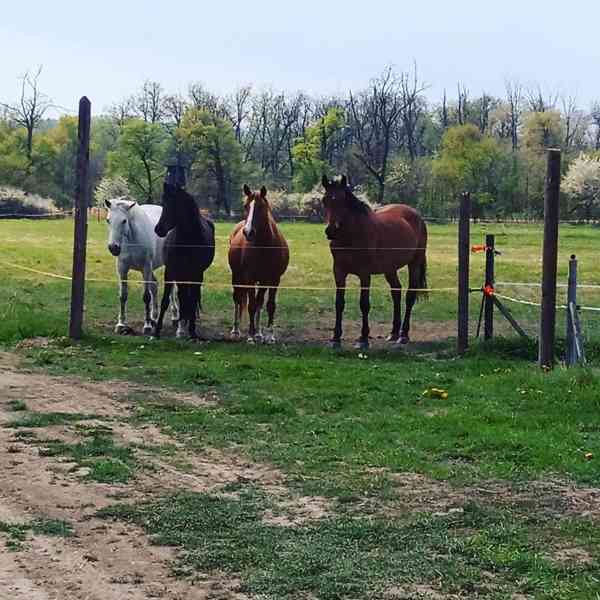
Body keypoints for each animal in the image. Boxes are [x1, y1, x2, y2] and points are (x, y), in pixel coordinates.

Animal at [105, 199, 180, 336]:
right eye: (108, 220)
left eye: (124, 221)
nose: (113, 247)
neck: (133, 239)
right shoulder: (122, 268)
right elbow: (123, 295)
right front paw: (121, 324)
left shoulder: (146, 267)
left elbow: (146, 297)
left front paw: (147, 326)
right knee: (155, 286)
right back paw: (154, 317)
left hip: (167, 265)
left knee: (172, 289)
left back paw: (174, 317)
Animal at [152, 183, 216, 340]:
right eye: (163, 204)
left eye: (174, 205)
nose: (158, 229)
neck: (186, 240)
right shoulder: (170, 271)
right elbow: (165, 301)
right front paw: (156, 331)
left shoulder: (196, 274)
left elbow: (192, 300)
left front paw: (192, 332)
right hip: (181, 274)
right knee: (182, 296)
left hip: (193, 276)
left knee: (191, 298)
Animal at [227, 184, 288, 342]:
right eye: (245, 206)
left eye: (261, 206)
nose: (248, 232)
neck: (264, 246)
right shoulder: (249, 278)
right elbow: (251, 306)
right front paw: (250, 336)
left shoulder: (273, 279)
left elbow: (269, 305)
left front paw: (269, 336)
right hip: (237, 276)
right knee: (237, 299)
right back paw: (236, 330)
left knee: (259, 302)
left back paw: (259, 332)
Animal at [324, 173, 426, 350]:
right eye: (324, 200)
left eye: (342, 200)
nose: (331, 231)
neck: (351, 236)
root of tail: (417, 216)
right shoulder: (339, 272)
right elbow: (339, 303)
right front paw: (336, 338)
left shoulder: (365, 274)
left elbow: (364, 304)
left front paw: (363, 339)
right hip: (390, 269)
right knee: (396, 292)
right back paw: (393, 333)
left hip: (414, 265)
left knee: (409, 296)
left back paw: (403, 335)